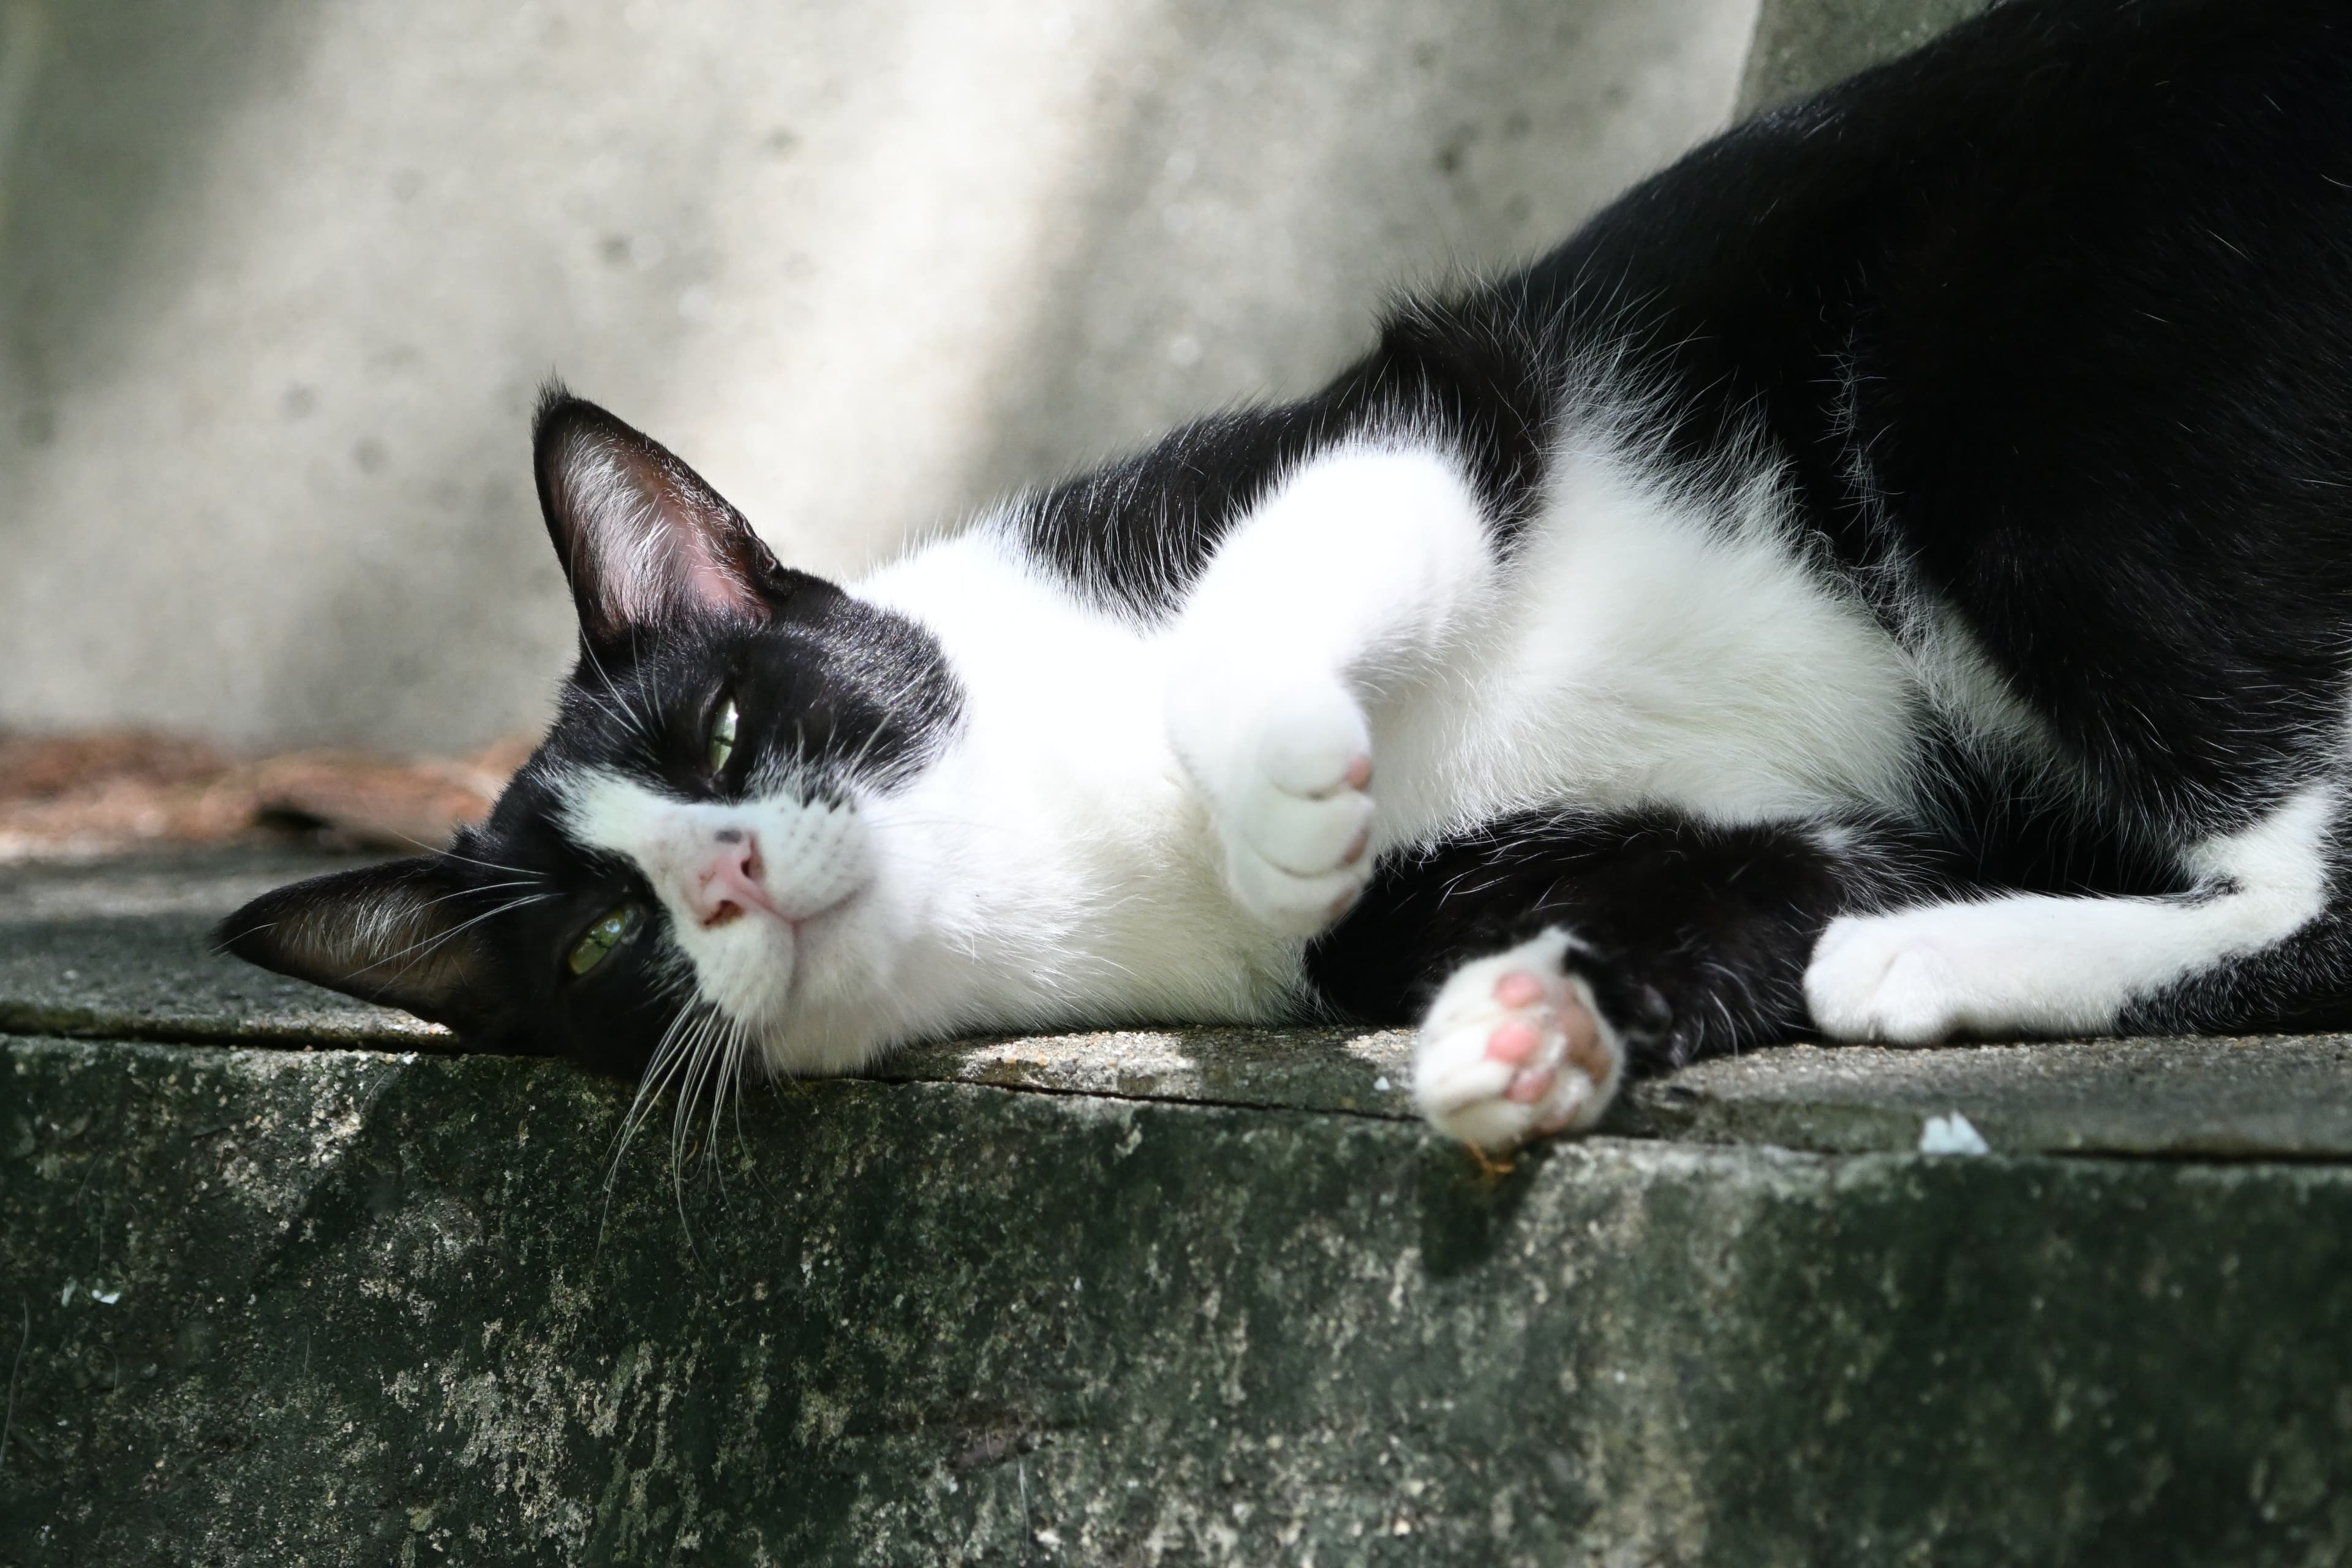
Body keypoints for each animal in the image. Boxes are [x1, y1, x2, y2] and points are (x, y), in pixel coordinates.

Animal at [221, 0, 2352, 1152]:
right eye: (602, 949)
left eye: (730, 726)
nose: (724, 872)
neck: (1062, 846)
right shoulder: (1672, 864)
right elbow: (1742, 900)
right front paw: (1527, 1032)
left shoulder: (1428, 409)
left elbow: (1285, 575)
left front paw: (1280, 787)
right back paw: (1940, 952)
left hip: (2000, 392)